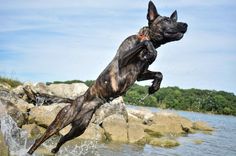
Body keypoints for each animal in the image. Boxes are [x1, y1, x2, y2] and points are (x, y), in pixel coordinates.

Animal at [27, 1, 188, 154]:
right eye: (166, 20)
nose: (185, 24)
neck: (146, 37)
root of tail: (74, 101)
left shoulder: (140, 74)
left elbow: (159, 73)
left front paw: (154, 87)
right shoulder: (123, 61)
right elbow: (147, 44)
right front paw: (152, 51)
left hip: (79, 128)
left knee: (61, 139)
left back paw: (55, 150)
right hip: (61, 122)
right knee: (39, 140)